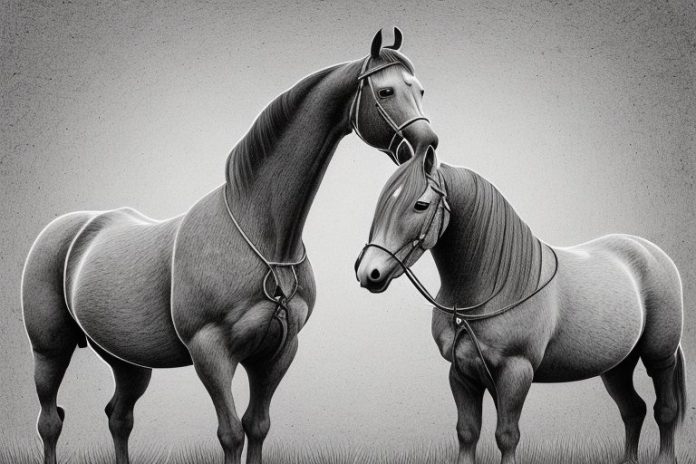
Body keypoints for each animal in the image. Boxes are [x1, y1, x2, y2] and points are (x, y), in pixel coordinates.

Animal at [22, 28, 438, 464]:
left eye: (419, 89)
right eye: (386, 91)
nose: (428, 146)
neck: (262, 237)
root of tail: (66, 228)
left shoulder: (276, 352)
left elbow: (257, 426)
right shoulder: (211, 352)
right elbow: (231, 434)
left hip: (128, 361)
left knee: (119, 418)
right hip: (49, 350)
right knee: (49, 421)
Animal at [354, 147, 686, 464]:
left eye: (419, 205)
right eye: (383, 204)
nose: (369, 272)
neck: (496, 286)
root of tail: (653, 253)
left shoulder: (516, 372)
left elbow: (507, 435)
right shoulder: (461, 374)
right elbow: (467, 432)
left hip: (659, 356)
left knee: (664, 409)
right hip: (617, 367)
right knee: (633, 409)